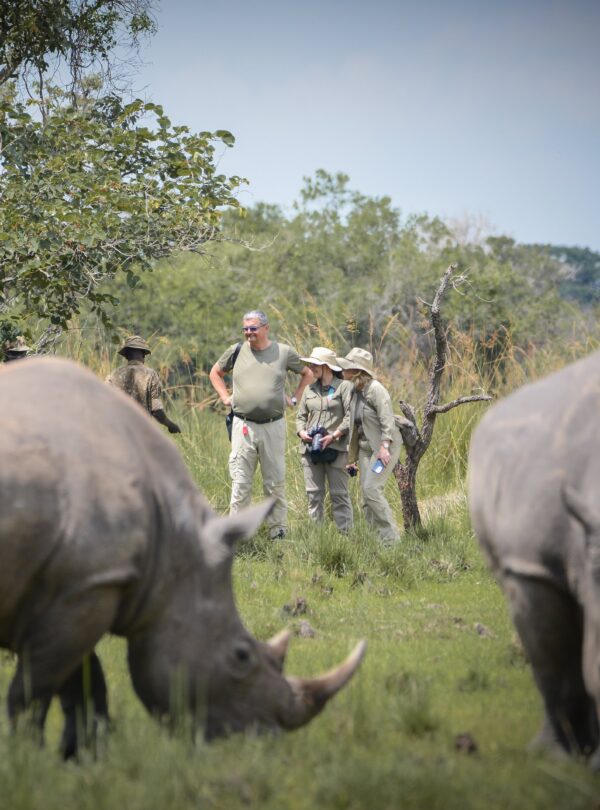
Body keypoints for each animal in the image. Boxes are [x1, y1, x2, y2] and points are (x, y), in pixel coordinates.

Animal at [0, 357, 365, 757]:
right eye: (240, 656)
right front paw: (27, 756)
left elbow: (81, 680)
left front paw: (81, 754)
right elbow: (35, 691)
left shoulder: (79, 588)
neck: (173, 548)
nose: (261, 739)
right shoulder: (86, 585)